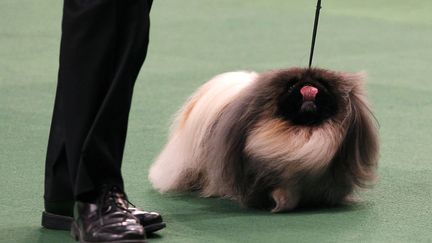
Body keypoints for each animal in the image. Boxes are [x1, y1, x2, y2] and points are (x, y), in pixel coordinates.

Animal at [148, 67, 378, 212]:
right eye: (291, 86)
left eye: (323, 85)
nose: (308, 83)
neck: (303, 133)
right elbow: (282, 193)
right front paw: (280, 205)